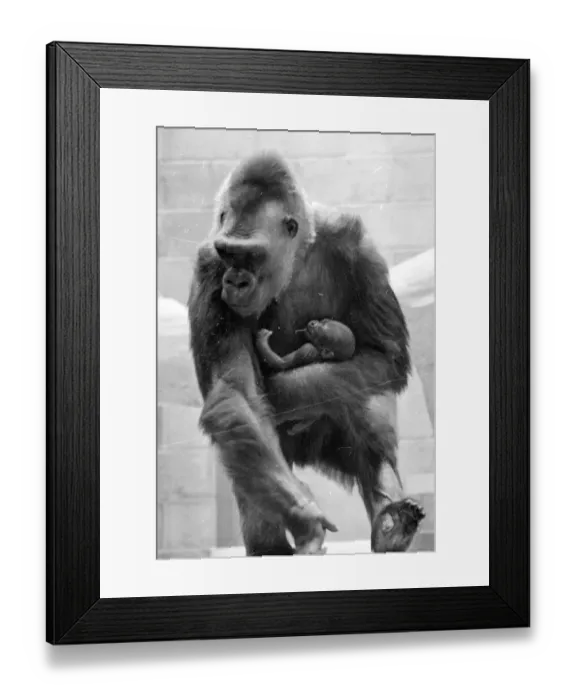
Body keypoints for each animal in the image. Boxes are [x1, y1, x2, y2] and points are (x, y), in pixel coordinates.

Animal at [188, 150, 425, 557]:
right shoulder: (209, 268)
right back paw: (270, 545)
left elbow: (383, 356)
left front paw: (282, 391)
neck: (296, 255)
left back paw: (390, 519)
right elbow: (236, 396)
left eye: (251, 256)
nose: (235, 281)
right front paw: (302, 515)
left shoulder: (358, 246)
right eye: (227, 253)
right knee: (249, 450)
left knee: (356, 391)